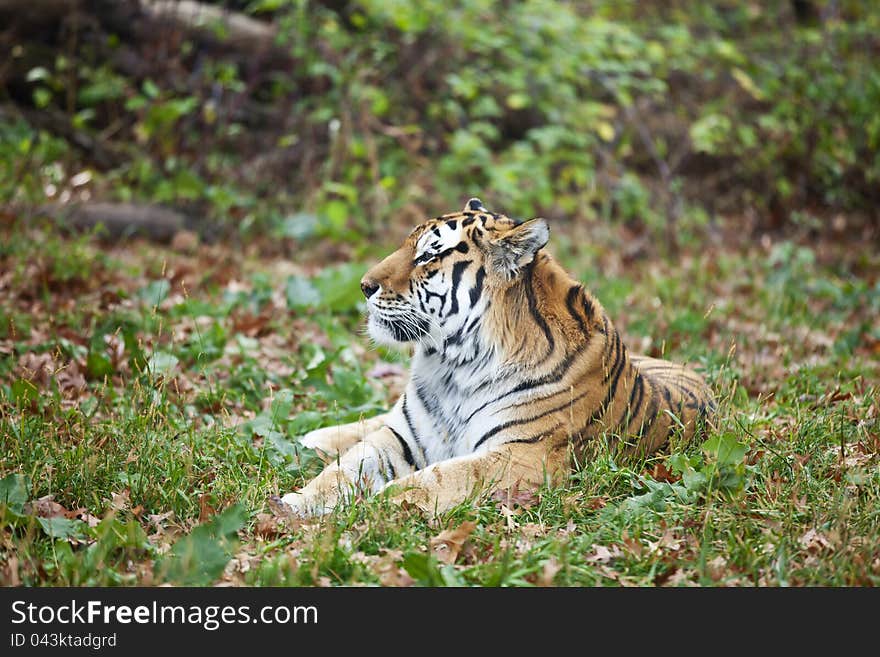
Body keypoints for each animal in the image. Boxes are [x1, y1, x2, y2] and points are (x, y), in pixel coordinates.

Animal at [282, 197, 716, 516]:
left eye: (427, 257)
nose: (363, 285)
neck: (452, 366)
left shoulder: (523, 455)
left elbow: (437, 478)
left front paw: (378, 505)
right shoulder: (404, 435)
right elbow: (348, 466)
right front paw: (297, 503)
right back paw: (315, 437)